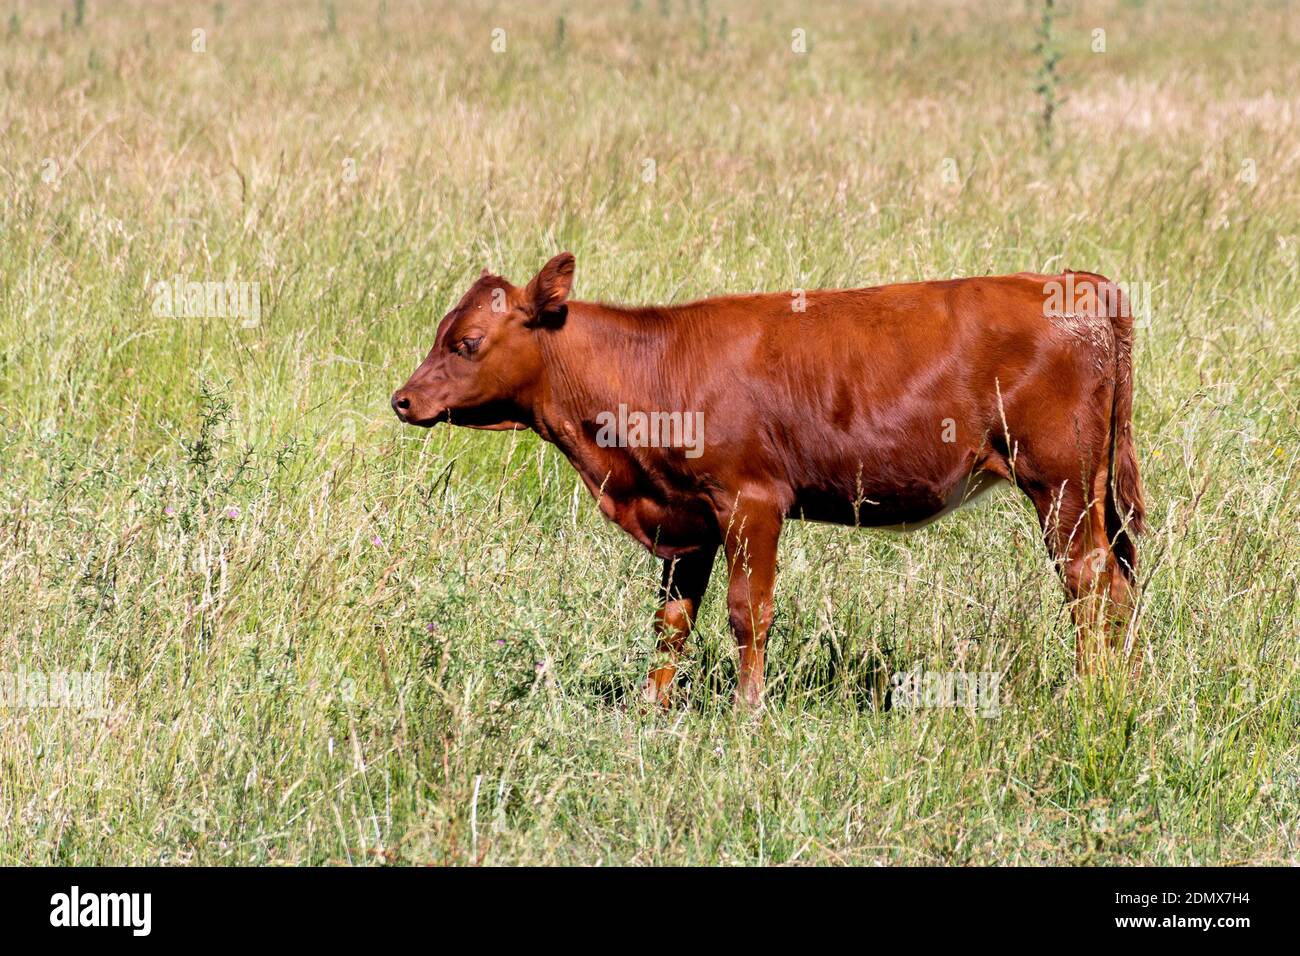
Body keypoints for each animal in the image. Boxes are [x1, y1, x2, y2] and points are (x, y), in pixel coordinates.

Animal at [392, 253, 1145, 708]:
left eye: (466, 343)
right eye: (440, 332)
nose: (402, 400)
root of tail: (1076, 281)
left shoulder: (750, 501)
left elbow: (746, 613)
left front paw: (747, 714)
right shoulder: (687, 521)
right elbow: (671, 624)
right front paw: (650, 710)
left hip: (1060, 484)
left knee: (1093, 584)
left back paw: (1094, 696)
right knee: (1123, 583)